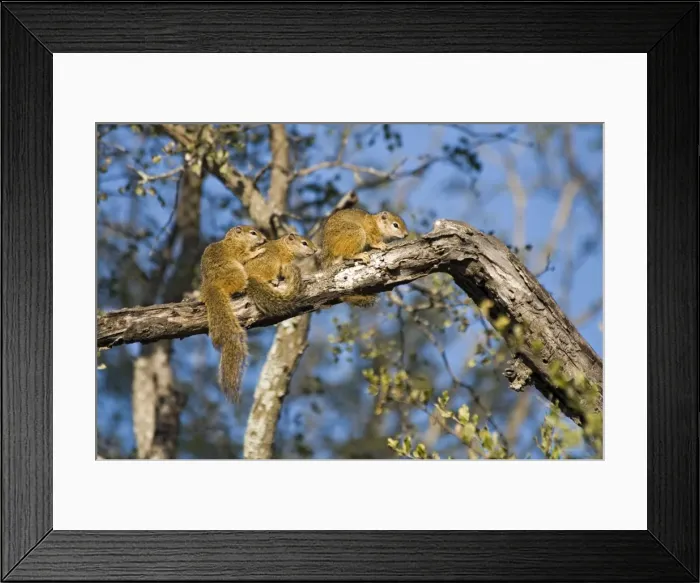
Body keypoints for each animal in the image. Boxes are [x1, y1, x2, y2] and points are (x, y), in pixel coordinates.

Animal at [199, 225, 267, 400]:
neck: (233, 241)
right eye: (253, 233)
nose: (264, 240)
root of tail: (212, 286)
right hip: (238, 273)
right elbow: (245, 256)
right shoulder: (237, 252)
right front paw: (259, 250)